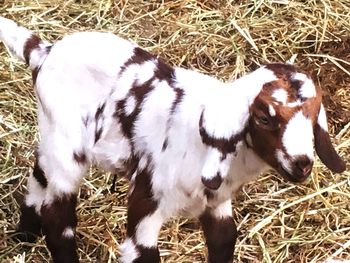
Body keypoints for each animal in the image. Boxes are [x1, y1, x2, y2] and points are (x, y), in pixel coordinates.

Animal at [0, 17, 344, 263]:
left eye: (314, 115)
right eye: (264, 117)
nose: (302, 164)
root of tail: (44, 52)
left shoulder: (217, 204)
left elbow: (224, 241)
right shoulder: (146, 199)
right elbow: (141, 252)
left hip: (52, 134)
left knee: (39, 171)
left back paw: (24, 236)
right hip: (68, 147)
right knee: (58, 218)